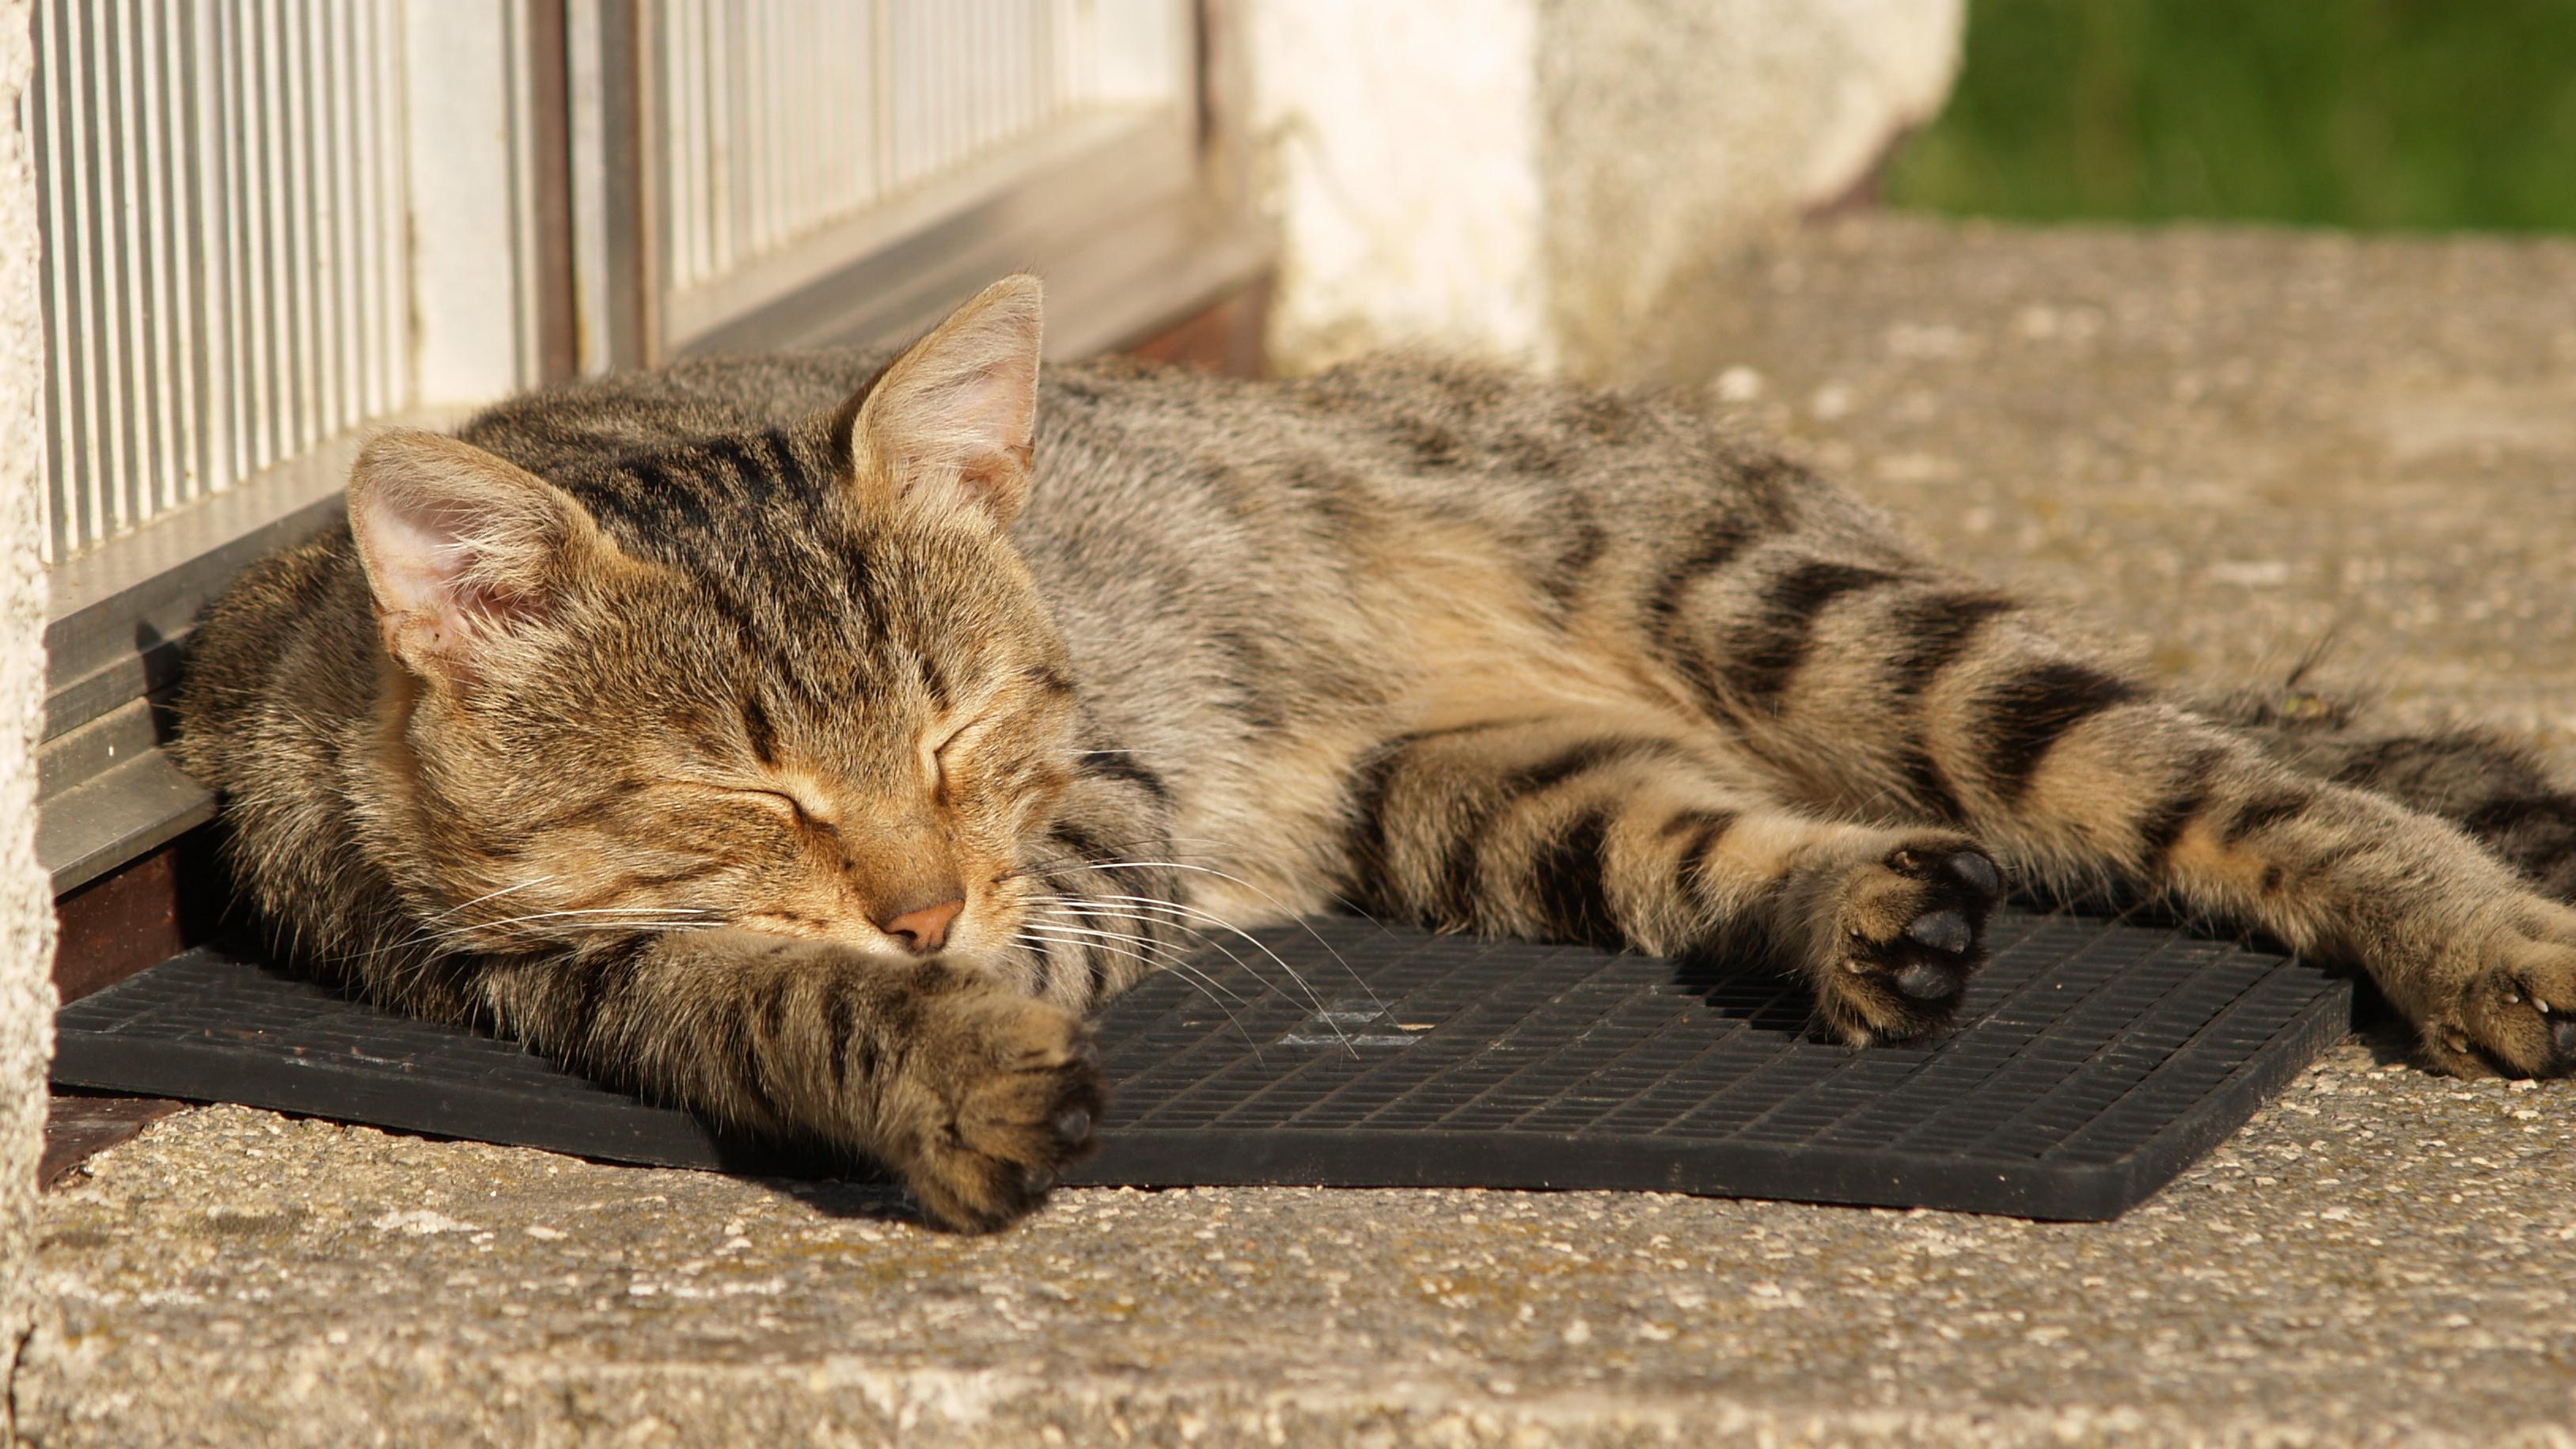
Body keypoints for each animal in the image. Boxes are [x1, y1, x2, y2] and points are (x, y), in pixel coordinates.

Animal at [176, 278, 2576, 1230]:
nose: (925, 899)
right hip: (1491, 799)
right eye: (749, 785)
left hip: (1811, 618)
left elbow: (974, 940)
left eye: (960, 729)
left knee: (2260, 782)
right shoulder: (526, 968)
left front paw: (950, 1004)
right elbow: (753, 988)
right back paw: (1851, 918)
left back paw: (2477, 935)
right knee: (1738, 839)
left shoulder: (1102, 818)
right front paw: (922, 1056)